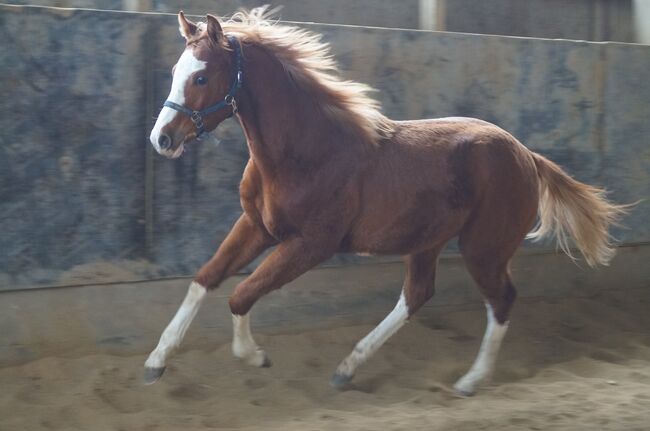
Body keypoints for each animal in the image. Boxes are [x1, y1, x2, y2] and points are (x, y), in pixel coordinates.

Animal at [146, 7, 624, 398]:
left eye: (201, 77)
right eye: (173, 70)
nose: (161, 139)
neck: (306, 151)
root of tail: (527, 156)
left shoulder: (311, 245)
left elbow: (241, 294)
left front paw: (254, 356)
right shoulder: (256, 227)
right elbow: (204, 280)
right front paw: (155, 362)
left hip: (483, 249)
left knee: (501, 299)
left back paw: (470, 381)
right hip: (428, 242)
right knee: (417, 295)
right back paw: (347, 369)